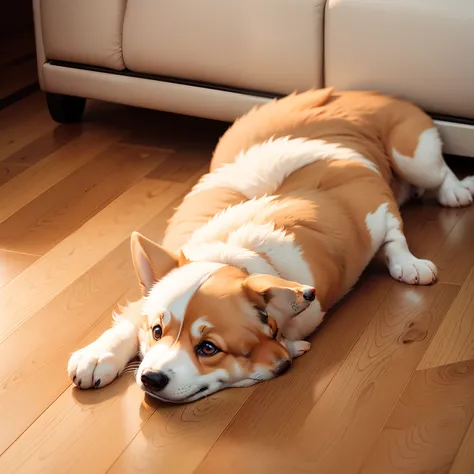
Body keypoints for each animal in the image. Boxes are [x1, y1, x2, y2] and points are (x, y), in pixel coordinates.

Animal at [67, 88, 474, 400]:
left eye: (208, 348)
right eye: (156, 331)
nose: (151, 379)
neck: (234, 253)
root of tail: (363, 92)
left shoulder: (371, 204)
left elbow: (395, 235)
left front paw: (410, 264)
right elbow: (128, 319)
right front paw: (96, 355)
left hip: (413, 154)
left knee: (438, 172)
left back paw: (457, 192)